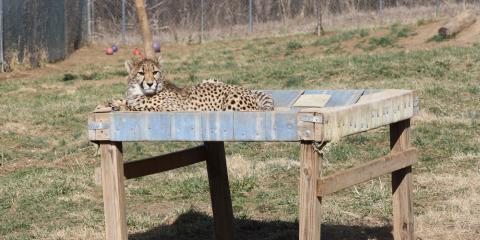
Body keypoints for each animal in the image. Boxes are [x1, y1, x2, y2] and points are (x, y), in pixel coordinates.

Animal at [109, 57, 274, 111]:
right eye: (141, 73)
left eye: (155, 72)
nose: (150, 84)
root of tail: (247, 89)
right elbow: (127, 102)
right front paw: (115, 102)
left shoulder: (173, 109)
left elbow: (141, 108)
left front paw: (122, 106)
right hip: (210, 79)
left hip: (231, 101)